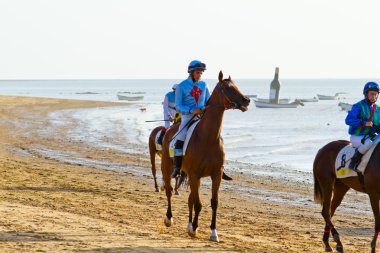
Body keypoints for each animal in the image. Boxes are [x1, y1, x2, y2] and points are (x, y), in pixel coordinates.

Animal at [160, 70, 249, 241]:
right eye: (227, 88)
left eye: (236, 85)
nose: (246, 100)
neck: (207, 137)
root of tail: (171, 129)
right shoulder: (195, 174)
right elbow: (198, 203)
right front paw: (195, 229)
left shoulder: (216, 174)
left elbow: (213, 202)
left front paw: (213, 232)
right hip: (167, 168)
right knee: (169, 190)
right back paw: (169, 218)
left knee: (190, 199)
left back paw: (188, 224)